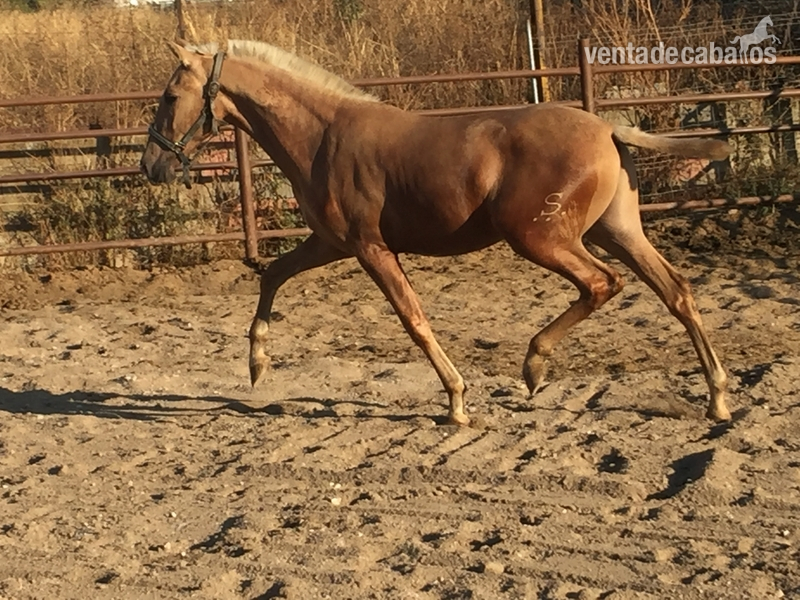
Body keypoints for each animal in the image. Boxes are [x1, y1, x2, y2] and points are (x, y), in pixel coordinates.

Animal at [140, 39, 734, 427]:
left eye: (170, 96)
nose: (151, 165)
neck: (322, 137)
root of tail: (608, 127)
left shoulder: (369, 248)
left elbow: (414, 320)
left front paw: (457, 402)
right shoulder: (329, 243)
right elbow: (271, 276)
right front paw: (257, 366)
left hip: (541, 239)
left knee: (603, 284)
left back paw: (534, 365)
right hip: (618, 231)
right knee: (676, 291)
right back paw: (718, 399)